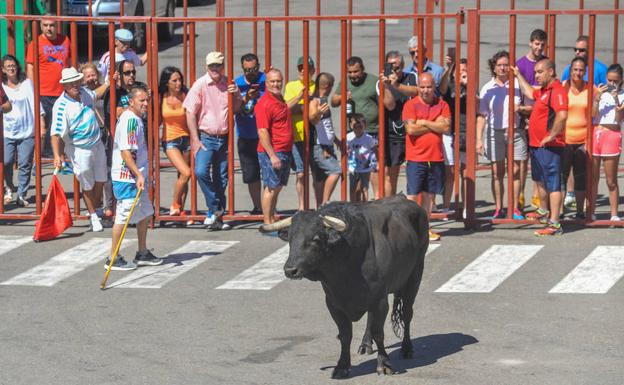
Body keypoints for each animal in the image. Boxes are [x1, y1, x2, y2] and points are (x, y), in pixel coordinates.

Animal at [258, 194, 428, 376]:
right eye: (290, 239)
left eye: (316, 239)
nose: (290, 270)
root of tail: (403, 198)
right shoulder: (334, 303)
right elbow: (345, 335)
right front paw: (342, 366)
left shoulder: (380, 300)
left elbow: (379, 333)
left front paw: (384, 364)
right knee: (371, 318)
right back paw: (365, 344)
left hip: (415, 276)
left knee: (407, 314)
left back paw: (407, 348)